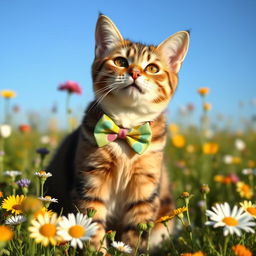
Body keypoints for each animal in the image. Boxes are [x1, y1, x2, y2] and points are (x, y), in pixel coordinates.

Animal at [46, 14, 190, 252]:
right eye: (121, 62)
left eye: (152, 68)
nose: (135, 72)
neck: (125, 131)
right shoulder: (90, 183)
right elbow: (93, 227)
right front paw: (97, 251)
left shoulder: (145, 188)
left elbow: (136, 234)